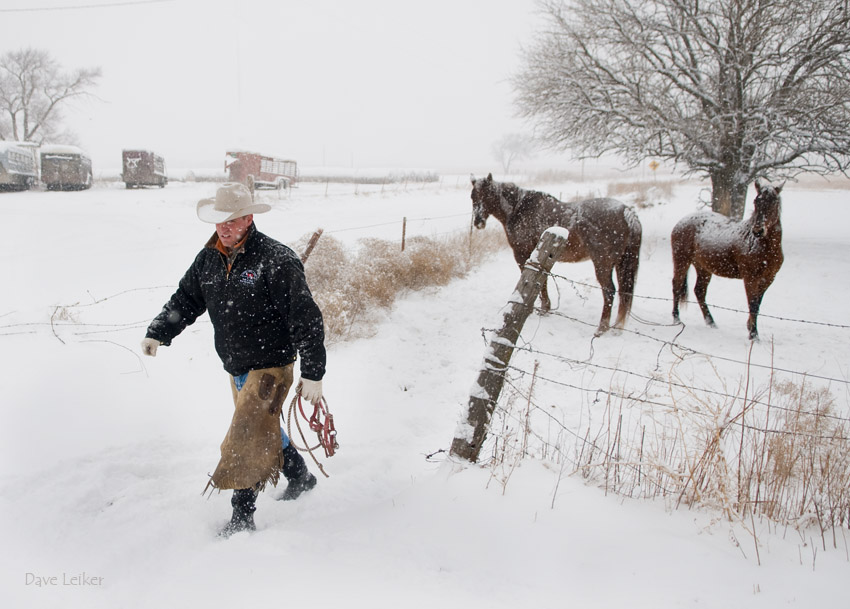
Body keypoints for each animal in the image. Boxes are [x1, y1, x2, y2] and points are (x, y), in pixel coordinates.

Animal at [468, 171, 640, 334]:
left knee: (609, 291)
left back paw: (601, 329)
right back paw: (617, 327)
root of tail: (626, 211)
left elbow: (534, 281)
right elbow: (542, 281)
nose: (478, 222)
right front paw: (545, 308)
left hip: (602, 263)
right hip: (620, 263)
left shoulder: (522, 254)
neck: (519, 210)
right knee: (623, 292)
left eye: (488, 194)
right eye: (472, 196)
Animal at [668, 178, 780, 340]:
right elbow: (752, 304)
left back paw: (711, 322)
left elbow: (757, 305)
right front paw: (753, 335)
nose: (758, 231)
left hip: (703, 268)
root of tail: (681, 222)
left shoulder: (768, 278)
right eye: (756, 201)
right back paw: (676, 318)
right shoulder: (750, 278)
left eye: (774, 202)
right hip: (682, 260)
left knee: (699, 291)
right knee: (677, 285)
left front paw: (751, 328)